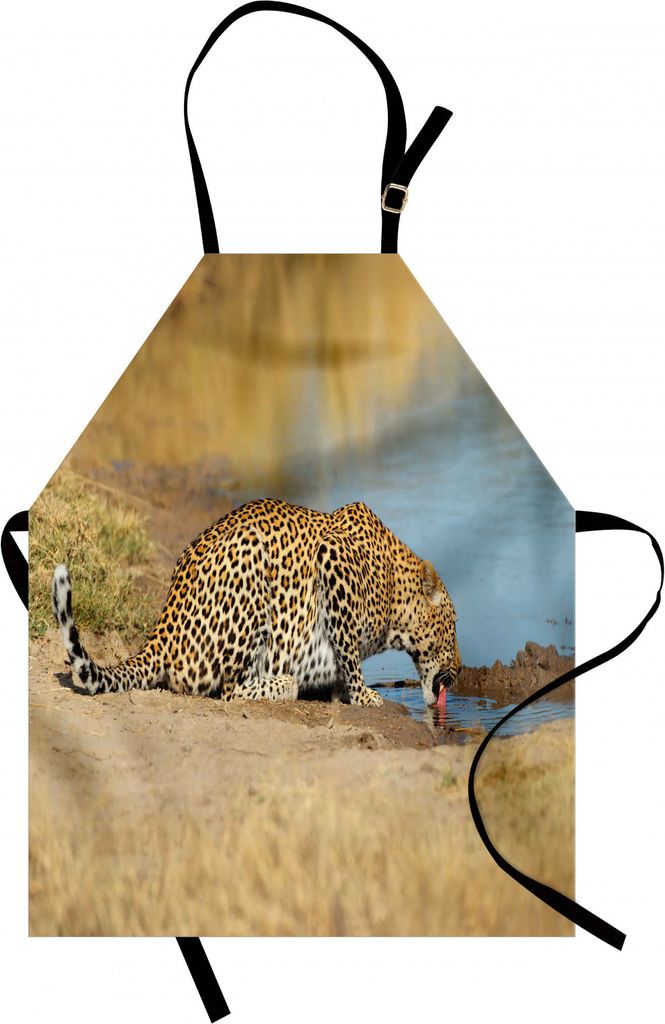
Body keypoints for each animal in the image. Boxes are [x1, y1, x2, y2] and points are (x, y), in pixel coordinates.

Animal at [52, 498, 461, 708]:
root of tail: (163, 631)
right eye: (454, 627)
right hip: (250, 564)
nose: (459, 669)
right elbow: (347, 647)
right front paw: (362, 695)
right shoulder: (333, 558)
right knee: (230, 689)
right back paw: (283, 684)